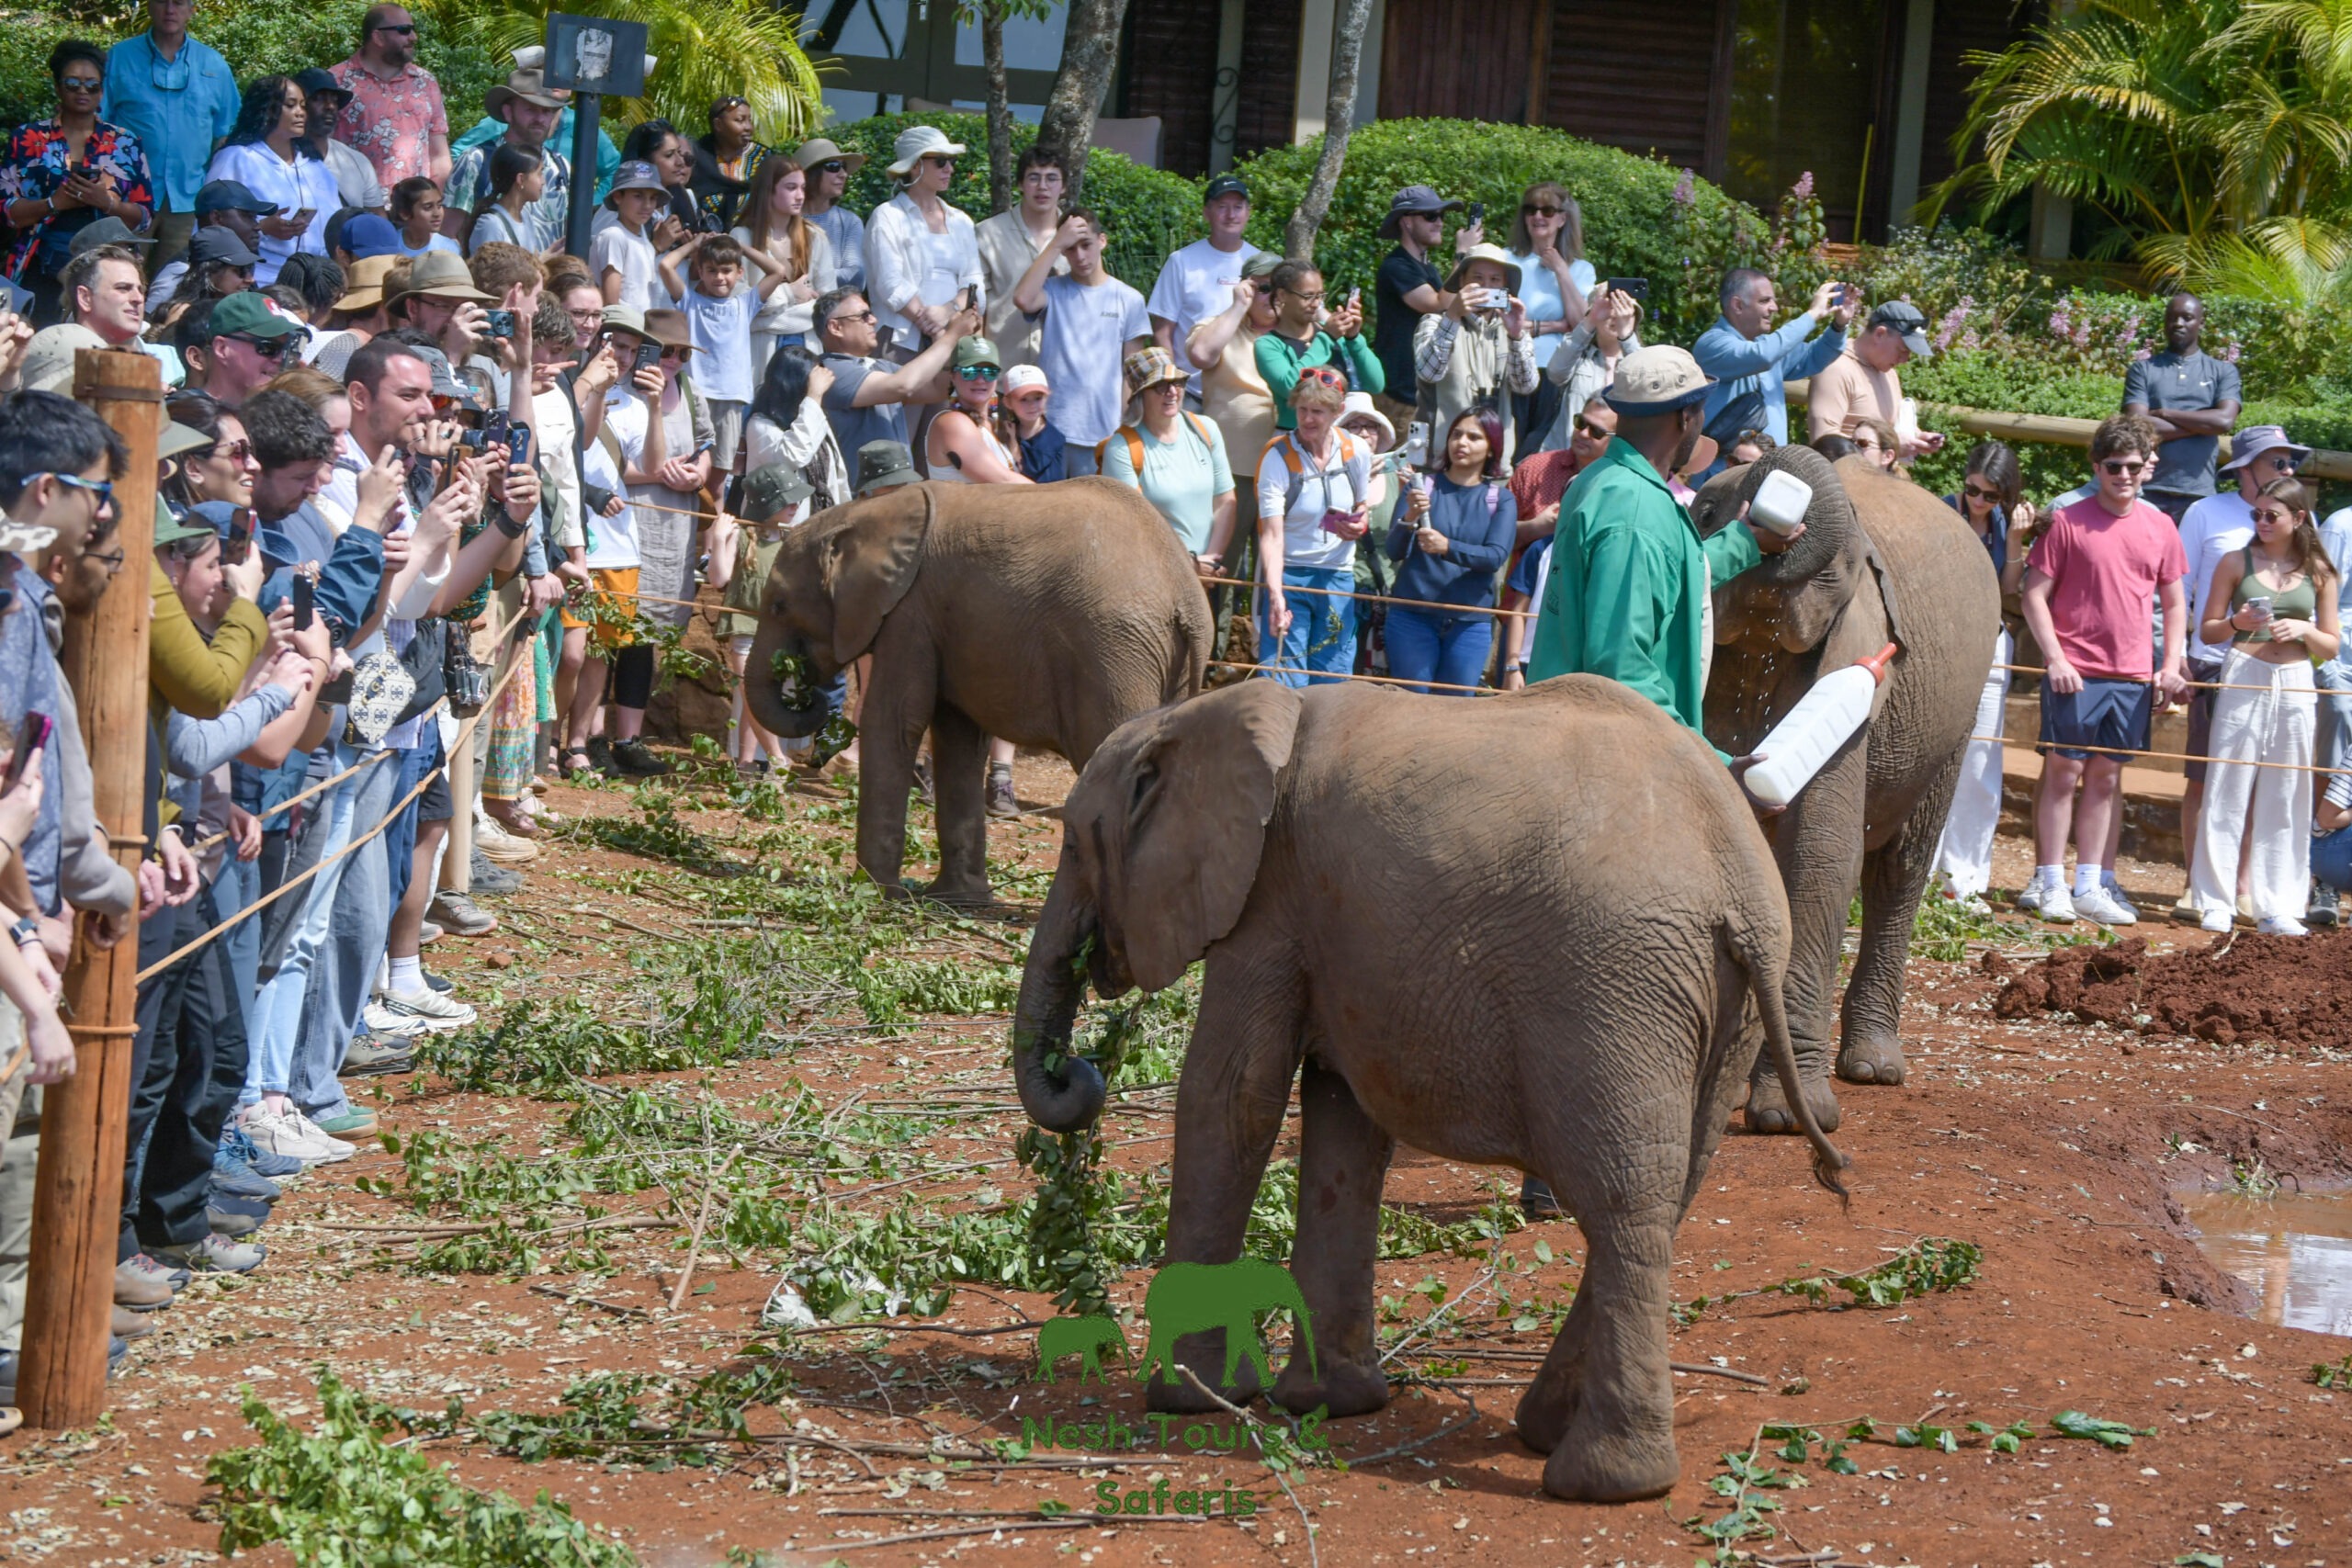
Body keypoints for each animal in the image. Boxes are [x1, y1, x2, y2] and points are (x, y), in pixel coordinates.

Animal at [743, 478, 1214, 904]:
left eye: (779, 605)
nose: (806, 687)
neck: (864, 513)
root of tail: (1187, 598)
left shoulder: (910, 612)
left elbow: (894, 721)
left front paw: (871, 893)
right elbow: (958, 739)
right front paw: (958, 900)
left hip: (1113, 656)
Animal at [1691, 446, 2000, 1135]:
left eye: (1845, 567)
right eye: (1704, 512)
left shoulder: (1853, 650)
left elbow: (1821, 853)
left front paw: (1789, 1117)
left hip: (1956, 725)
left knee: (1900, 868)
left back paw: (1873, 1068)